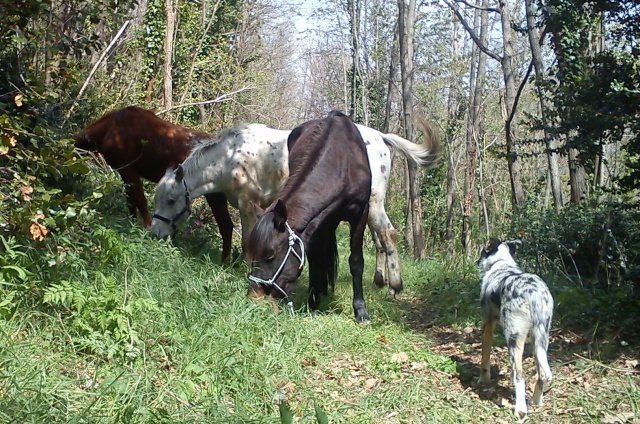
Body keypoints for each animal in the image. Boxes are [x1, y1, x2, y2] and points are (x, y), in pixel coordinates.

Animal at [74, 104, 234, 260]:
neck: (107, 131)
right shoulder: (126, 173)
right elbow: (131, 202)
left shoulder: (128, 170)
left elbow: (140, 202)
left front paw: (147, 228)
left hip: (215, 194)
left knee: (226, 226)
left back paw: (225, 262)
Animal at [246, 111, 376, 322]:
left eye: (269, 255)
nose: (254, 297)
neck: (342, 161)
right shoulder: (318, 222)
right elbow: (316, 260)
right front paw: (314, 303)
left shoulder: (360, 214)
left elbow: (356, 262)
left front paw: (361, 311)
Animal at [478, 237, 552, 420]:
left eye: (482, 251)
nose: (477, 262)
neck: (502, 263)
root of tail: (533, 294)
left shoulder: (487, 325)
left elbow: (485, 359)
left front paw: (483, 381)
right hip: (540, 340)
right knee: (543, 375)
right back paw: (536, 401)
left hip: (513, 338)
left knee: (519, 376)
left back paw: (520, 410)